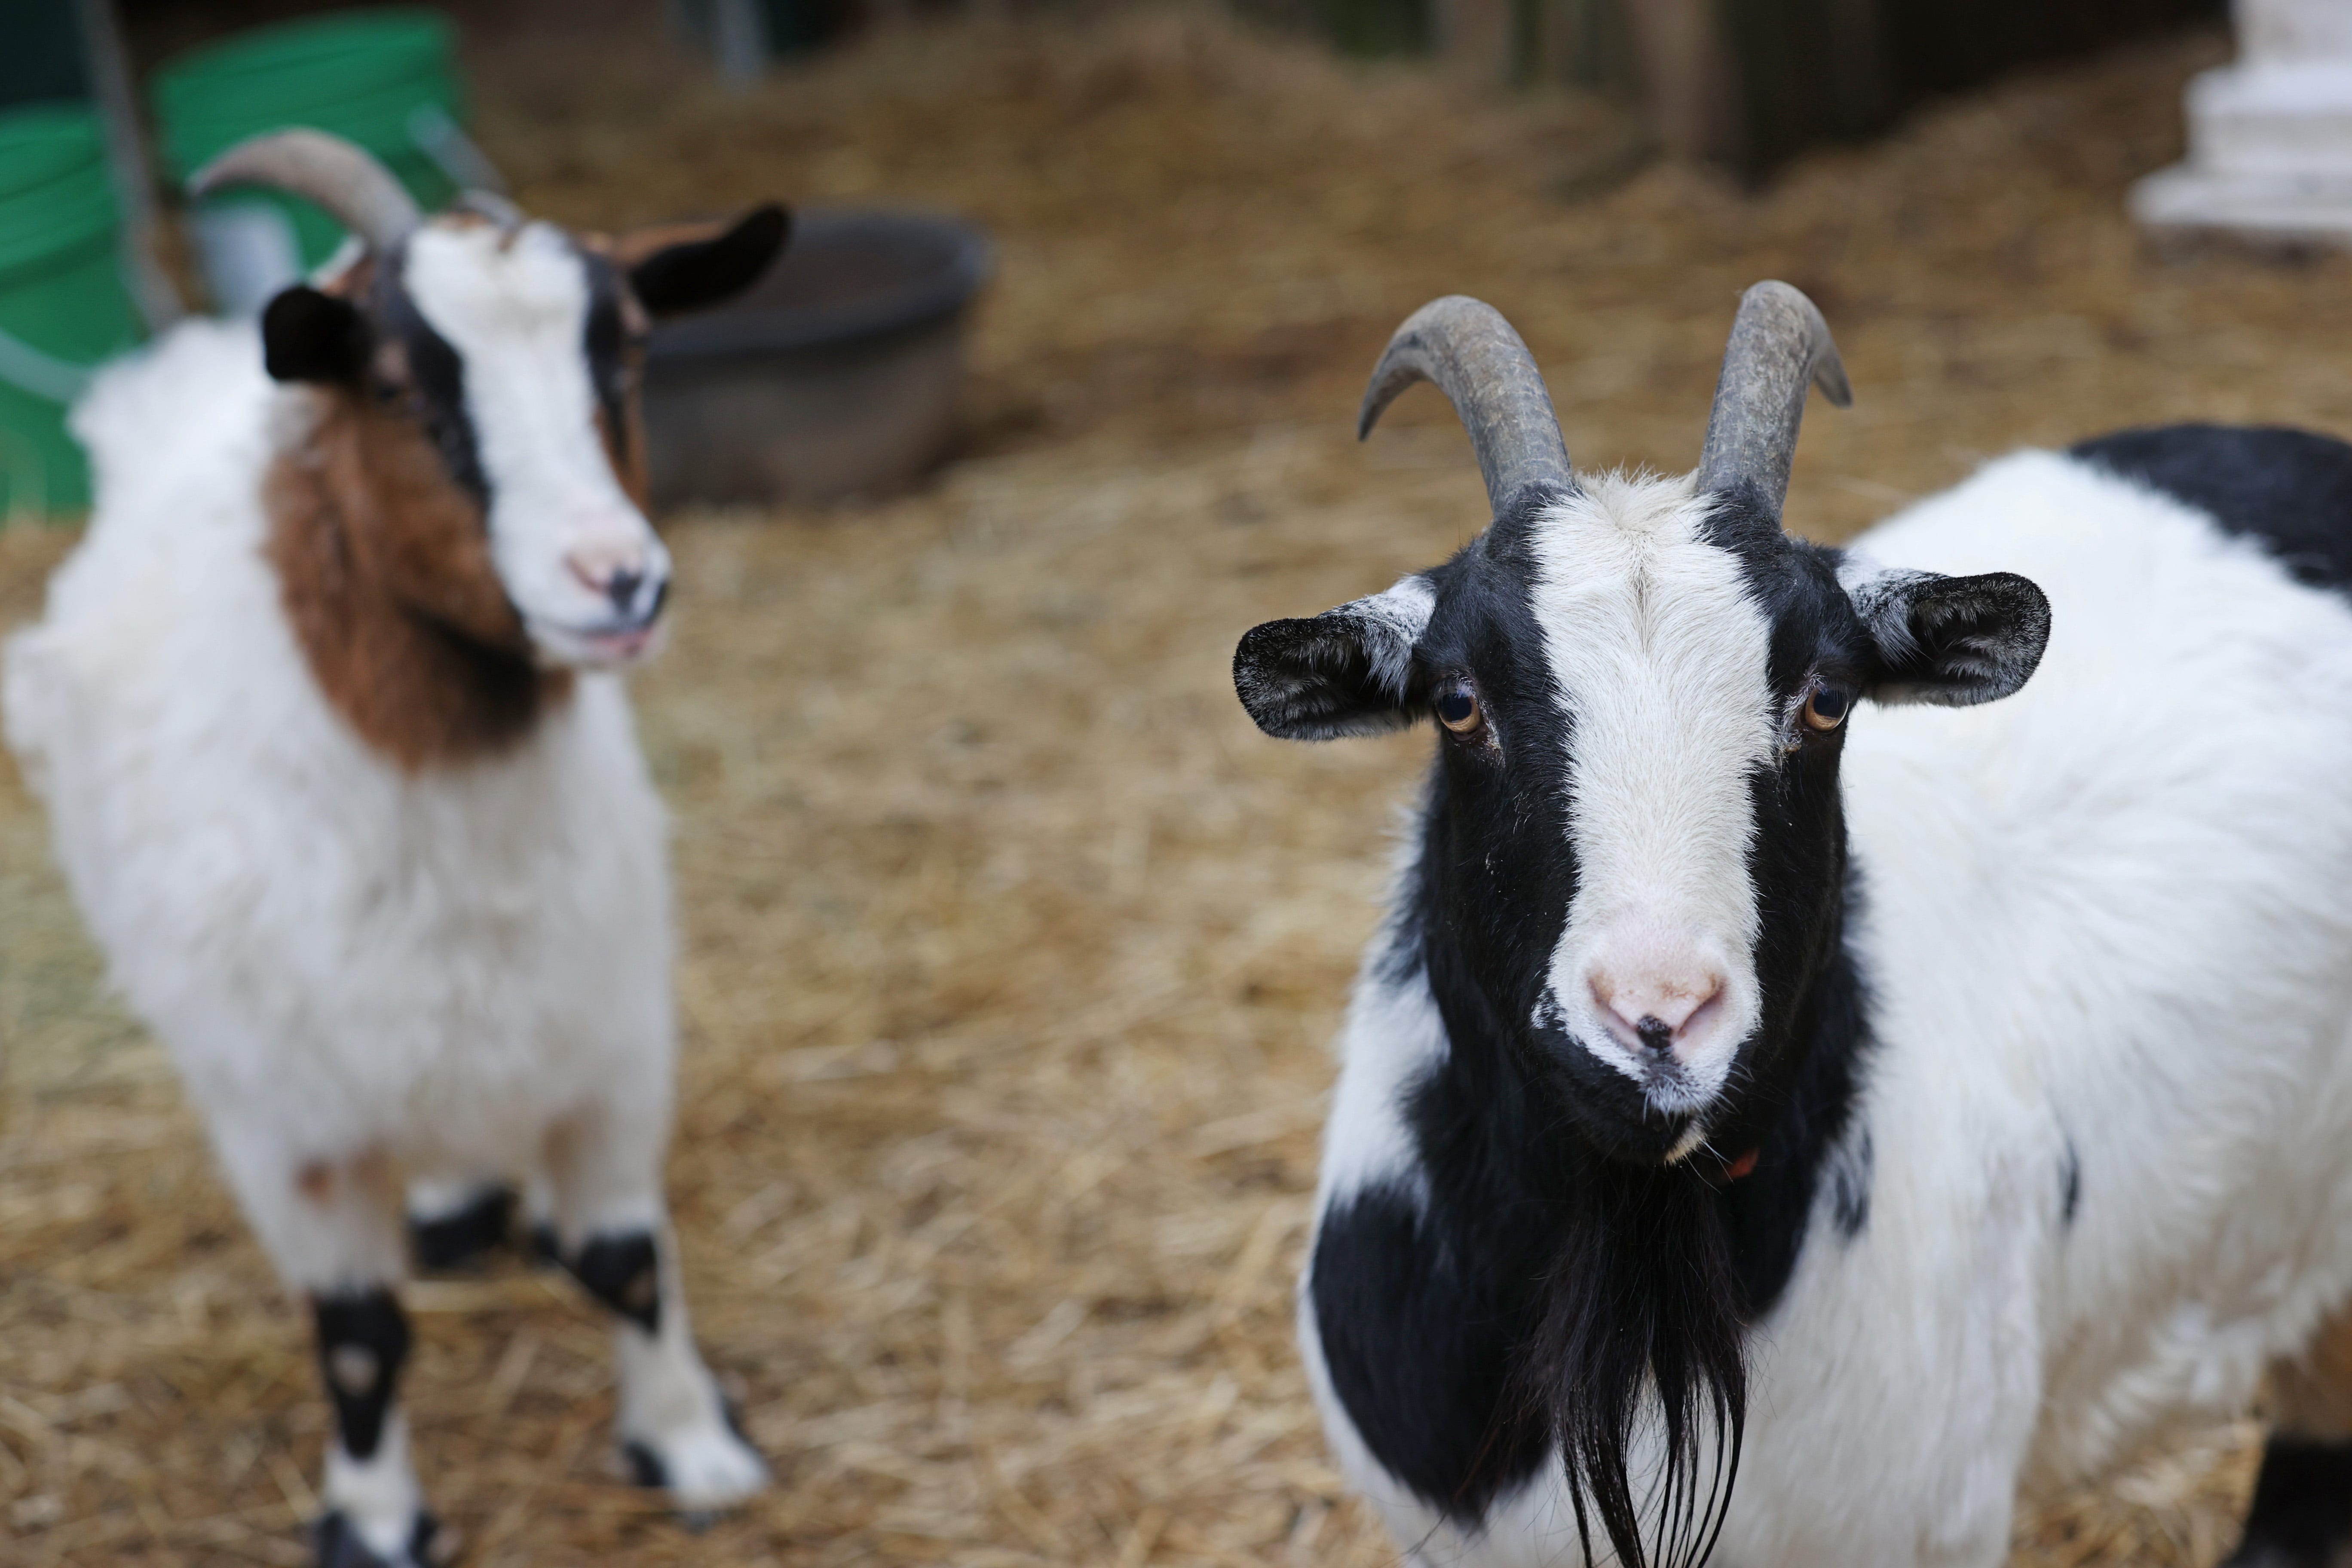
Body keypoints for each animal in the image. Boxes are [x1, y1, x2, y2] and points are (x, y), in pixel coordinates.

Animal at [4, 132, 789, 1568]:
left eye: (631, 352)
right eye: (394, 383)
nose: (617, 579)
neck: (440, 773)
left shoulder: (606, 1033)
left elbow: (625, 1261)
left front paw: (692, 1448)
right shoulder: (285, 1118)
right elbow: (361, 1337)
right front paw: (373, 1520)